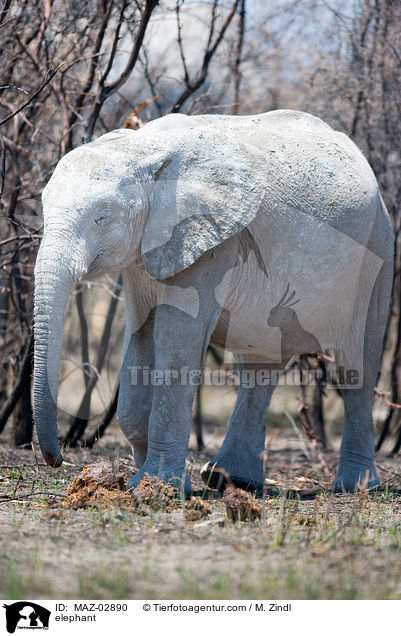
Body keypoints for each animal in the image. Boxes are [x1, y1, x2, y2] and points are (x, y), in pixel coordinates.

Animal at [33, 110, 394, 496]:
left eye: (102, 217)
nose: (57, 459)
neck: (143, 149)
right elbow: (142, 331)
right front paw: (139, 479)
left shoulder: (212, 239)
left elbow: (176, 336)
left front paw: (159, 487)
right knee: (259, 368)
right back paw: (232, 480)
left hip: (378, 249)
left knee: (356, 365)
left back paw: (355, 486)